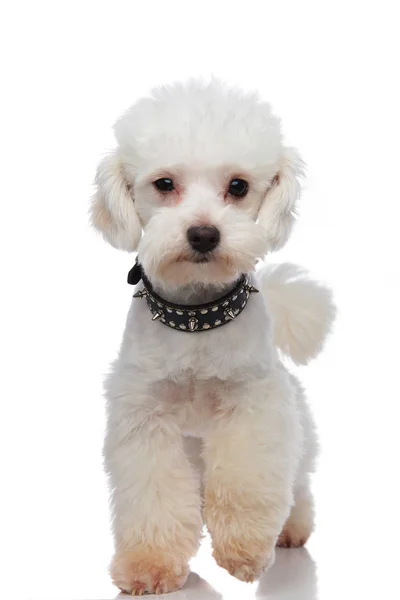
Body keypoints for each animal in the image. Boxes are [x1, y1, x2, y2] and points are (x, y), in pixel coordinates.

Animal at [90, 79, 334, 596]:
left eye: (237, 186)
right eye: (164, 184)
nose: (203, 234)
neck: (196, 319)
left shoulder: (253, 406)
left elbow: (248, 482)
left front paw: (244, 551)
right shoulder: (145, 415)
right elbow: (153, 494)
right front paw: (149, 564)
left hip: (296, 429)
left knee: (297, 484)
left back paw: (291, 529)